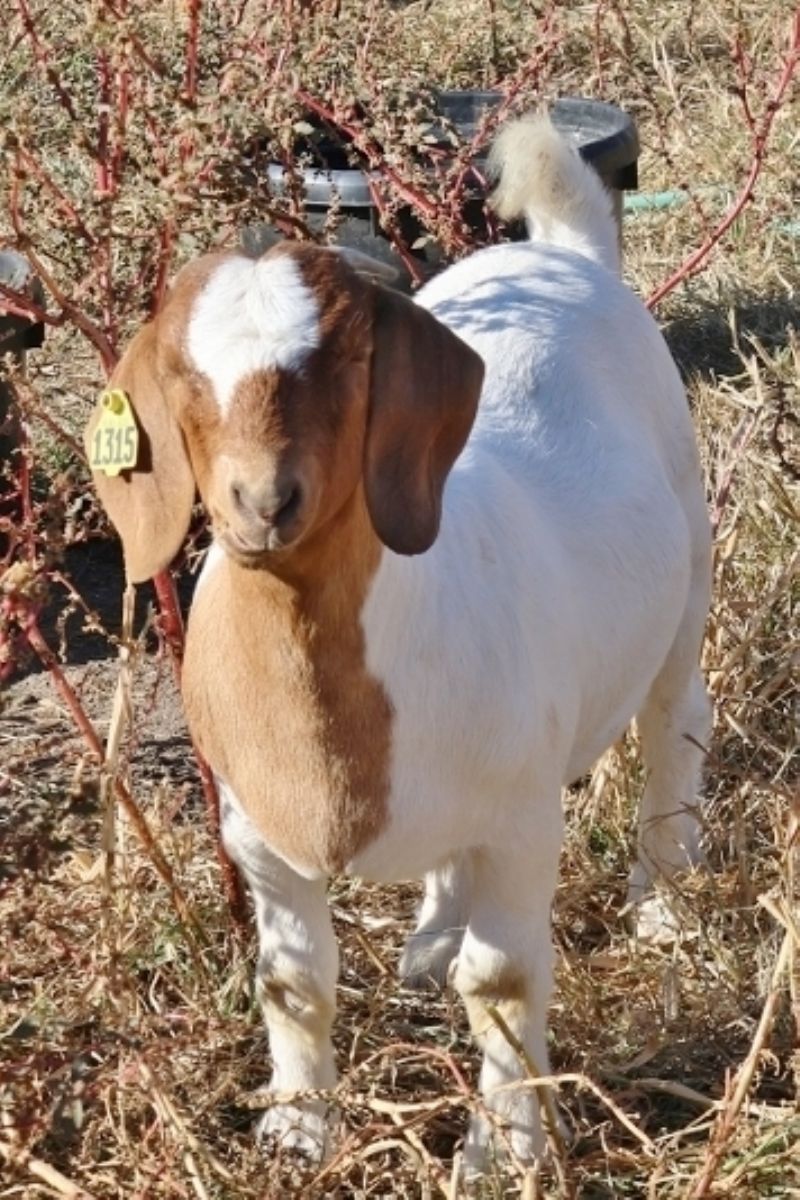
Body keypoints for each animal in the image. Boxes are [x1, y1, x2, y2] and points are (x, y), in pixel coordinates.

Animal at [87, 117, 714, 1166]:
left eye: (346, 362)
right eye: (180, 380)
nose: (263, 501)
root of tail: (563, 252)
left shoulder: (521, 822)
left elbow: (500, 985)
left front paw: (507, 1149)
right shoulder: (256, 838)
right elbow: (293, 983)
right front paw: (299, 1130)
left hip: (687, 572)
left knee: (677, 723)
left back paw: (663, 902)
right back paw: (428, 941)